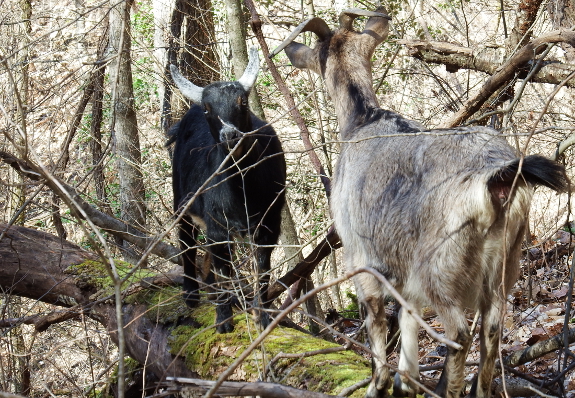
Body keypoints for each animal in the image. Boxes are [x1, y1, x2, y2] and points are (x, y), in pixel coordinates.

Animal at [170, 46, 286, 332]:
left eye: (242, 102)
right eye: (208, 108)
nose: (230, 135)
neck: (243, 191)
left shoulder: (268, 225)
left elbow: (262, 271)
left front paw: (262, 317)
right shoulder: (217, 228)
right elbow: (224, 270)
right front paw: (223, 321)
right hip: (181, 202)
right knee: (187, 241)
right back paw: (191, 294)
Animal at [274, 6, 572, 398]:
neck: (363, 120)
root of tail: (496, 178)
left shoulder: (361, 257)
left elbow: (377, 320)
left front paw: (379, 384)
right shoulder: (402, 267)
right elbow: (408, 319)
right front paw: (406, 379)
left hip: (441, 264)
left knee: (458, 330)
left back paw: (448, 385)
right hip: (506, 261)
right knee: (491, 327)